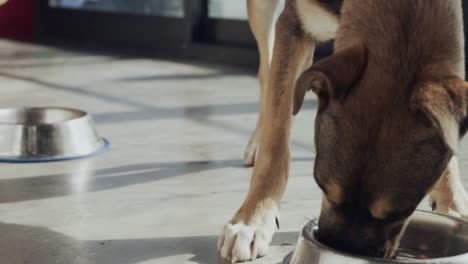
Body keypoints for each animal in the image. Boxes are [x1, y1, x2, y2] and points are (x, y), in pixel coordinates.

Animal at [218, 0, 468, 262]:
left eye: (400, 213)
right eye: (323, 188)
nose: (343, 248)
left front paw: (452, 202)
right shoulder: (294, 26)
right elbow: (275, 138)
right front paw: (252, 220)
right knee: (266, 73)